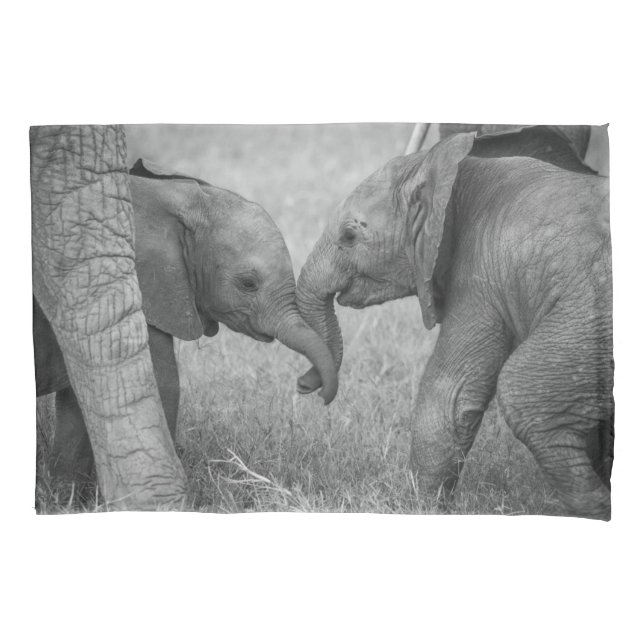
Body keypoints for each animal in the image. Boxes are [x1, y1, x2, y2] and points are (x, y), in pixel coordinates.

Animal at [295, 125, 613, 520]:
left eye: (350, 236)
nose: (304, 386)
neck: (448, 171)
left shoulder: (480, 276)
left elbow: (449, 391)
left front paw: (419, 509)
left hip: (594, 314)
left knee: (523, 391)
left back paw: (598, 504)